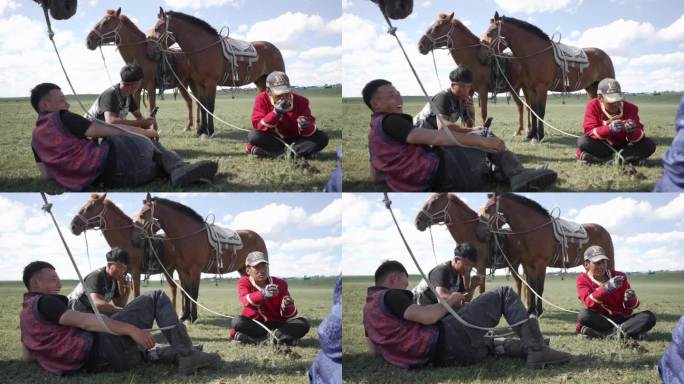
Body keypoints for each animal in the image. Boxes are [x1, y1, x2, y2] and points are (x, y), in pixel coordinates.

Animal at [132, 194, 268, 322]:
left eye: (143, 214)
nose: (136, 239)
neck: (188, 236)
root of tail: (258, 237)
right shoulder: (182, 271)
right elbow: (186, 292)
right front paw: (185, 316)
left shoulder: (195, 270)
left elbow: (193, 293)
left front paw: (193, 317)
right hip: (244, 270)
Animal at [154, 7, 284, 137]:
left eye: (157, 28)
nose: (154, 48)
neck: (204, 48)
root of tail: (275, 49)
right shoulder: (200, 84)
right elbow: (203, 106)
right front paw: (201, 130)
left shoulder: (211, 83)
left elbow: (210, 106)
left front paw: (210, 131)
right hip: (261, 81)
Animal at [478, 192, 616, 316]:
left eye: (487, 209)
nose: (481, 233)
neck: (533, 229)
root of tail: (604, 231)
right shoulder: (529, 265)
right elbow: (531, 287)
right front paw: (530, 310)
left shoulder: (541, 264)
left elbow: (539, 288)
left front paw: (538, 311)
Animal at [480, 11, 616, 141]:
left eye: (490, 33)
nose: (482, 56)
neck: (535, 54)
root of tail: (606, 56)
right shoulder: (531, 89)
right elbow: (533, 111)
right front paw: (531, 135)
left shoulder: (541, 88)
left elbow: (540, 112)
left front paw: (539, 136)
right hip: (591, 87)